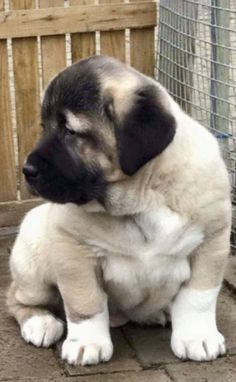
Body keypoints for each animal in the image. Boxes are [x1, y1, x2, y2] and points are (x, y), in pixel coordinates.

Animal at [6, 56, 231, 364]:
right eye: (45, 126)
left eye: (69, 131)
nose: (27, 170)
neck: (144, 198)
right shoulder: (74, 250)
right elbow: (85, 301)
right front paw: (87, 343)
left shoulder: (212, 242)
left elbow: (198, 297)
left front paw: (198, 336)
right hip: (32, 261)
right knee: (16, 297)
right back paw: (40, 322)